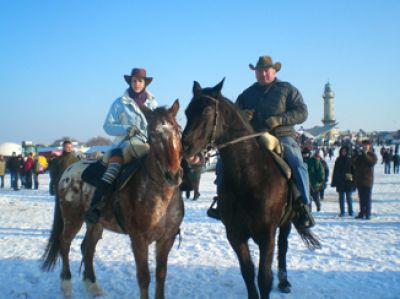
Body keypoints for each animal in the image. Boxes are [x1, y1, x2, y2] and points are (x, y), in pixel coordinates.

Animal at [40, 101, 184, 299]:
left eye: (178, 130)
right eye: (152, 134)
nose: (173, 175)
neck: (162, 195)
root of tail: (68, 170)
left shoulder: (166, 239)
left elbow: (161, 276)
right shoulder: (138, 239)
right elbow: (144, 277)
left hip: (95, 223)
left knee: (87, 248)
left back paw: (93, 285)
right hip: (72, 219)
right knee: (65, 243)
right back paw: (66, 285)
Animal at [181, 81, 318, 299]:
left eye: (207, 110)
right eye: (187, 111)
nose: (185, 147)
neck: (249, 177)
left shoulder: (267, 236)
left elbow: (264, 278)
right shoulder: (235, 234)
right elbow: (248, 272)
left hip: (286, 223)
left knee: (283, 248)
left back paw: (284, 281)